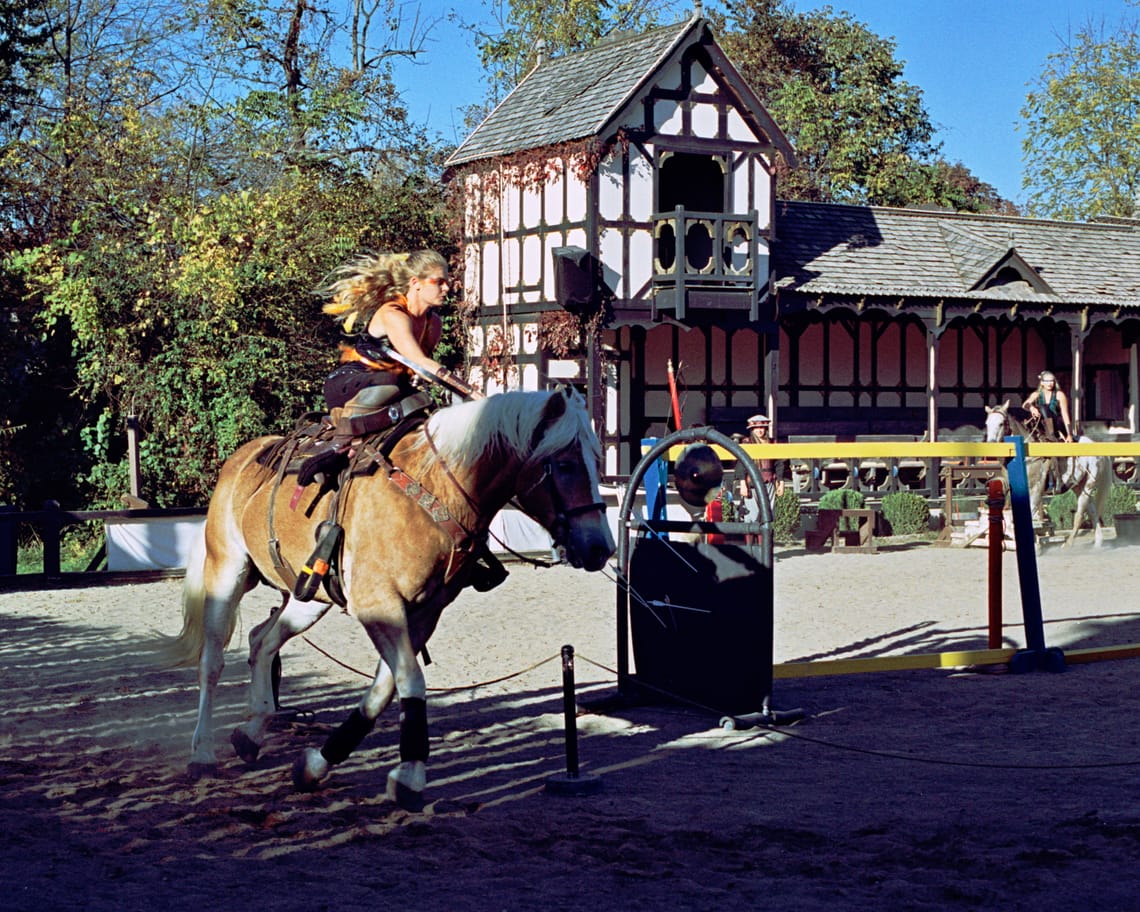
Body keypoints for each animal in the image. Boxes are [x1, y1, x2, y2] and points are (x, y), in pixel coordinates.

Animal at [163, 387, 615, 807]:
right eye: (565, 464)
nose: (601, 547)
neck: (434, 493)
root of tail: (242, 458)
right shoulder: (380, 606)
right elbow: (410, 679)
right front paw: (412, 773)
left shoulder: (422, 614)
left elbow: (385, 688)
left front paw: (317, 764)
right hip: (227, 571)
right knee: (213, 661)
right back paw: (202, 752)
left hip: (310, 598)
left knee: (263, 640)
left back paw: (253, 729)